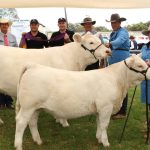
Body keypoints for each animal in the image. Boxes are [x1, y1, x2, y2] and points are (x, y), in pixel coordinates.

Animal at [14, 55, 149, 150]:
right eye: (139, 66)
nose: (149, 74)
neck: (118, 82)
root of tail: (33, 66)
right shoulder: (106, 106)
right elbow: (104, 125)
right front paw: (106, 142)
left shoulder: (99, 109)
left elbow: (99, 123)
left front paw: (99, 139)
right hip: (28, 106)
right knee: (21, 122)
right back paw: (18, 145)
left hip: (35, 108)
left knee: (32, 122)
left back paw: (38, 141)